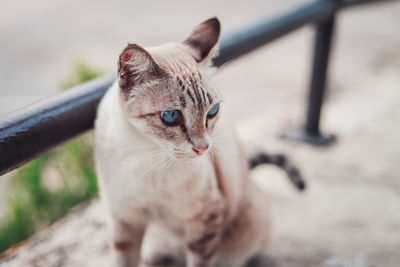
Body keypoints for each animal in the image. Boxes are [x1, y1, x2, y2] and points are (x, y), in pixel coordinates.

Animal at [94, 17, 304, 267]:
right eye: (171, 116)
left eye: (212, 111)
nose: (203, 147)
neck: (147, 154)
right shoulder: (124, 218)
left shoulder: (205, 218)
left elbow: (198, 261)